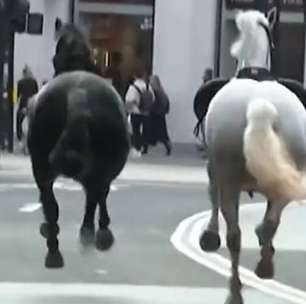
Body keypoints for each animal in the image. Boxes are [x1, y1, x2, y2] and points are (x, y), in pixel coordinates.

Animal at [200, 9, 306, 304]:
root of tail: (259, 105)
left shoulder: (214, 170)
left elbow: (212, 198)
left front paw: (209, 236)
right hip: (288, 178)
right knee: (270, 223)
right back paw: (263, 264)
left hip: (229, 178)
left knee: (234, 234)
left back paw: (236, 289)